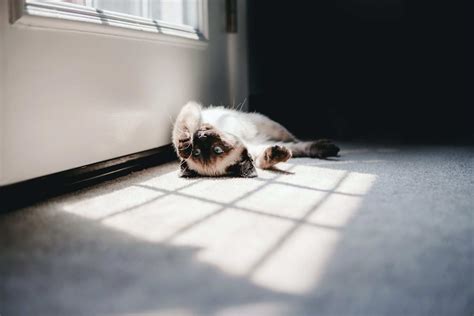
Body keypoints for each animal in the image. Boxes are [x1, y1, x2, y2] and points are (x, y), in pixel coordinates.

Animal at [172, 100, 338, 177]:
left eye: (217, 149)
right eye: (197, 152)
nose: (200, 136)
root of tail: (263, 138)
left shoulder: (194, 110)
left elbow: (182, 130)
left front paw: (184, 144)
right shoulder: (254, 151)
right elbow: (262, 161)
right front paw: (276, 155)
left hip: (272, 126)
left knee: (295, 139)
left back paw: (330, 147)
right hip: (273, 141)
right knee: (297, 148)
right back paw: (327, 149)